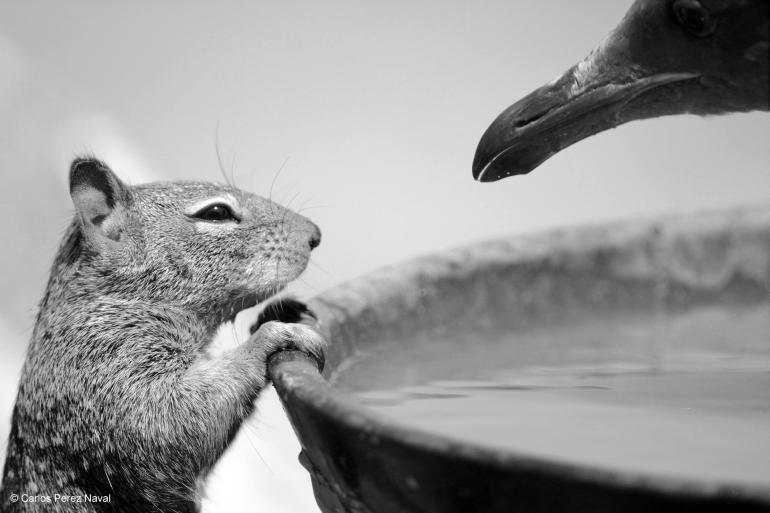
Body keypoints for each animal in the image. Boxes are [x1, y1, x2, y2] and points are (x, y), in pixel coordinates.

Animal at [0, 157, 324, 512]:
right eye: (216, 213)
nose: (315, 234)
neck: (121, 300)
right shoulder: (108, 368)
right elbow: (173, 422)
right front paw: (270, 336)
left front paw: (279, 313)